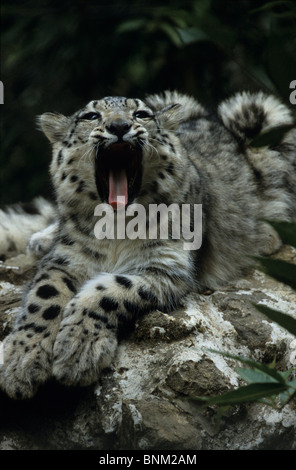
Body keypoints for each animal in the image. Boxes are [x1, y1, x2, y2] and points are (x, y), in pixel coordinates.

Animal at [0, 90, 296, 398]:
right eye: (91, 116)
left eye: (141, 114)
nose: (118, 126)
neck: (116, 229)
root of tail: (214, 121)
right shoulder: (65, 259)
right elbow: (44, 297)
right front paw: (21, 361)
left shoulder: (166, 266)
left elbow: (110, 289)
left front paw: (78, 351)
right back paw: (41, 239)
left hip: (262, 118)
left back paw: (266, 234)